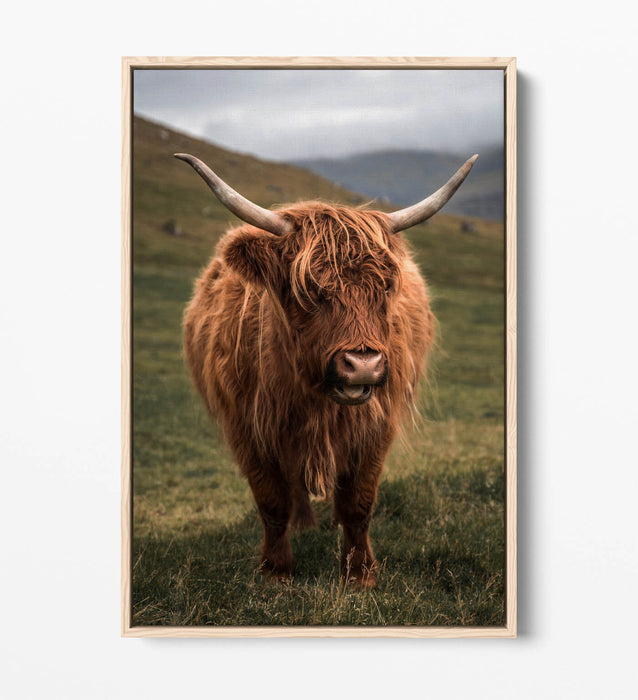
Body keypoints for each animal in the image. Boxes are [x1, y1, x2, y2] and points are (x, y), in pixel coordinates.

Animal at [176, 152, 477, 588]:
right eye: (309, 290)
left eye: (386, 287)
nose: (363, 365)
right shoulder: (247, 427)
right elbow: (271, 502)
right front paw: (276, 571)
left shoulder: (376, 426)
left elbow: (358, 503)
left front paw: (360, 573)